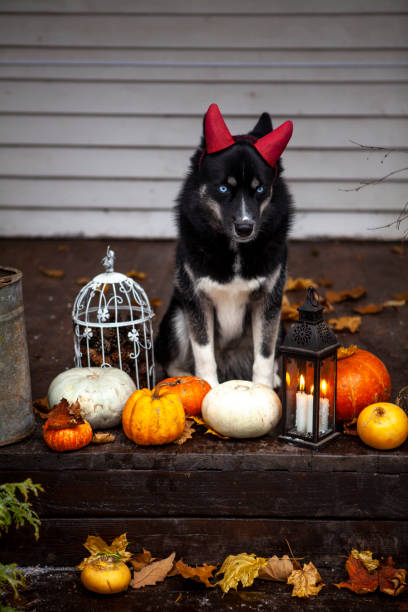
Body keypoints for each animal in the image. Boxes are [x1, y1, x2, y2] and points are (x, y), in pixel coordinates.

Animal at [155, 102, 294, 384]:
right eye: (223, 188)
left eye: (260, 189)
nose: (245, 227)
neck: (235, 249)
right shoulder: (197, 301)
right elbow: (204, 354)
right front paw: (206, 387)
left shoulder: (268, 302)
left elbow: (265, 354)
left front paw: (263, 387)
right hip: (176, 319)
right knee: (171, 363)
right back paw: (181, 379)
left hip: (281, 327)